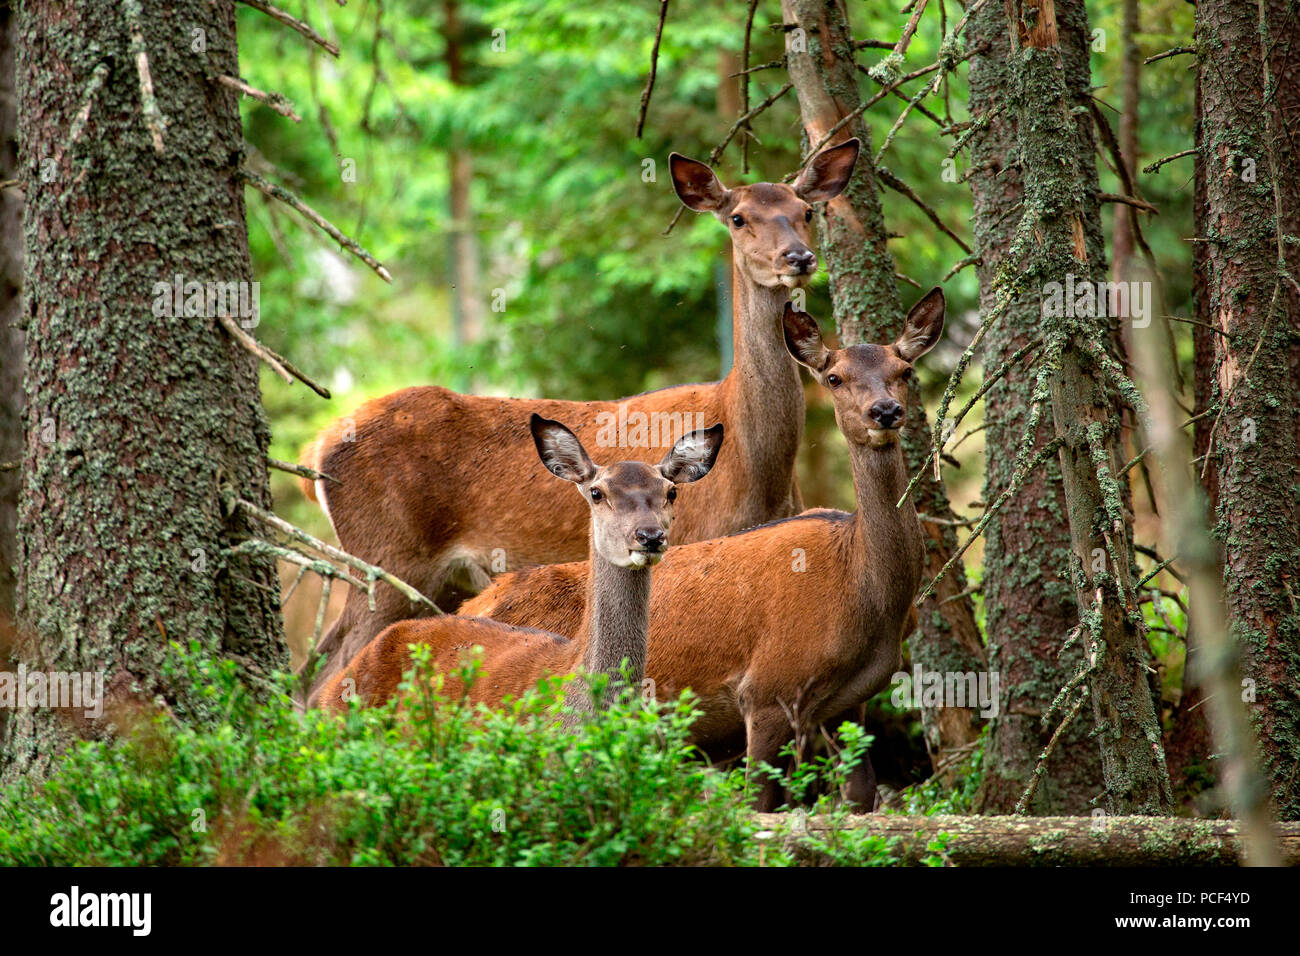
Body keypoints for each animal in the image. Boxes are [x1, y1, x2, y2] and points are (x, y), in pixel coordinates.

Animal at [459, 291, 946, 811]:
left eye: (905, 371)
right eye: (834, 377)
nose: (885, 411)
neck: (866, 593)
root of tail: (476, 602)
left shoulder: (848, 704)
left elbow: (860, 797)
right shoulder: (767, 689)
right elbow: (759, 802)